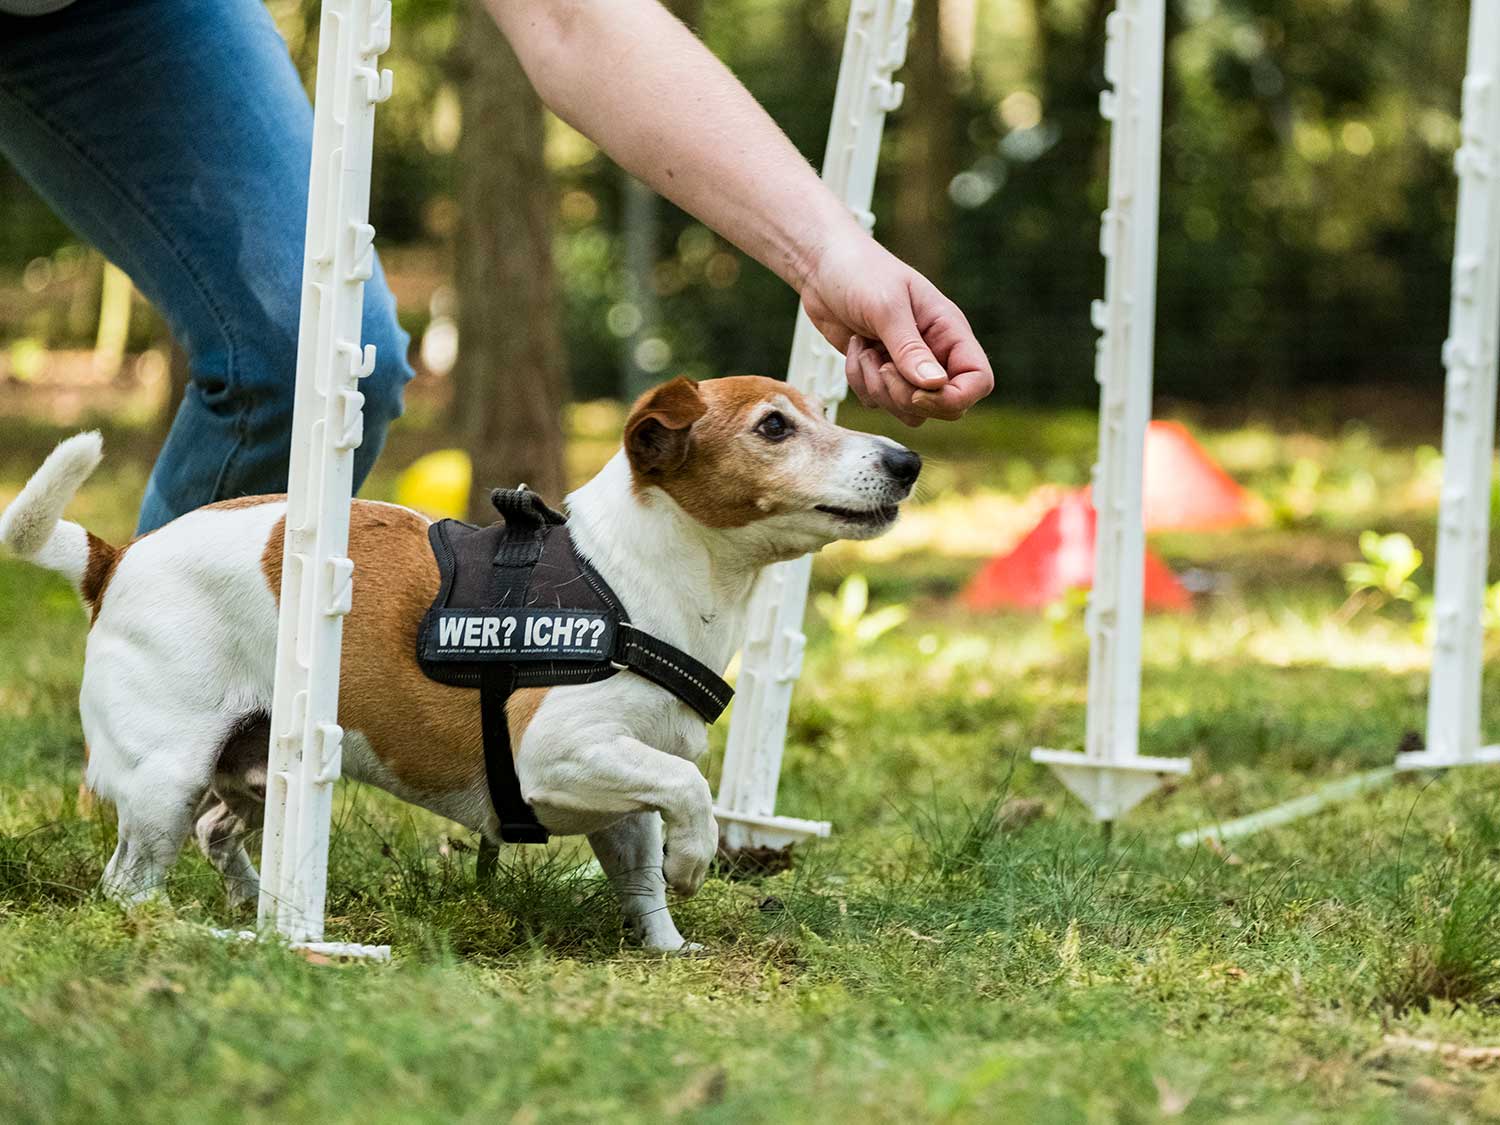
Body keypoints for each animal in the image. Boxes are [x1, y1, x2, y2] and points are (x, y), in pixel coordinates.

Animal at [0, 376, 918, 954]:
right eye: (774, 426)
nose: (906, 461)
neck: (637, 578)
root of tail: (115, 559)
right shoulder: (559, 755)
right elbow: (688, 795)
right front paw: (696, 859)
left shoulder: (625, 788)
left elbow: (642, 873)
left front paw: (667, 946)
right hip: (167, 774)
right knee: (128, 886)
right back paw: (199, 931)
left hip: (257, 767)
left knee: (216, 828)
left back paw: (253, 902)